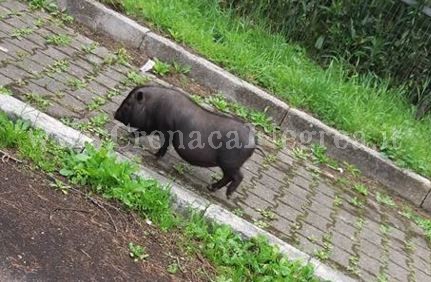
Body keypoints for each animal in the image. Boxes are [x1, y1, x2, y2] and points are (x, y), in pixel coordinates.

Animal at [114, 86, 256, 198]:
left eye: (127, 104)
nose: (115, 114)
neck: (152, 105)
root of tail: (253, 140)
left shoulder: (165, 128)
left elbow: (164, 143)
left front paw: (156, 155)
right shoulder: (153, 125)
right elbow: (141, 131)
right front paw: (129, 135)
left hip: (229, 162)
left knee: (238, 177)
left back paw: (228, 194)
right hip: (229, 164)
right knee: (228, 177)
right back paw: (211, 188)